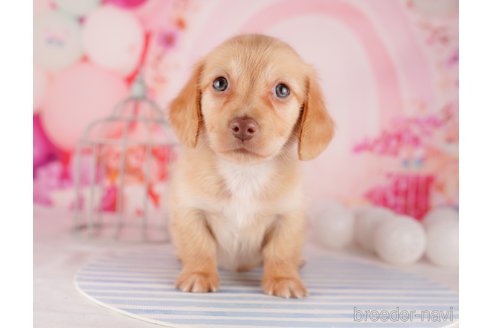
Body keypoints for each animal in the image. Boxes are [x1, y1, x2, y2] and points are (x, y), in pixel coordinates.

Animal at [166, 34, 334, 298]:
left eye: (282, 90)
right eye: (220, 83)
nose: (243, 126)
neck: (244, 173)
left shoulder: (289, 216)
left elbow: (282, 250)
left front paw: (284, 278)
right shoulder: (189, 209)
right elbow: (198, 246)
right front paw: (198, 273)